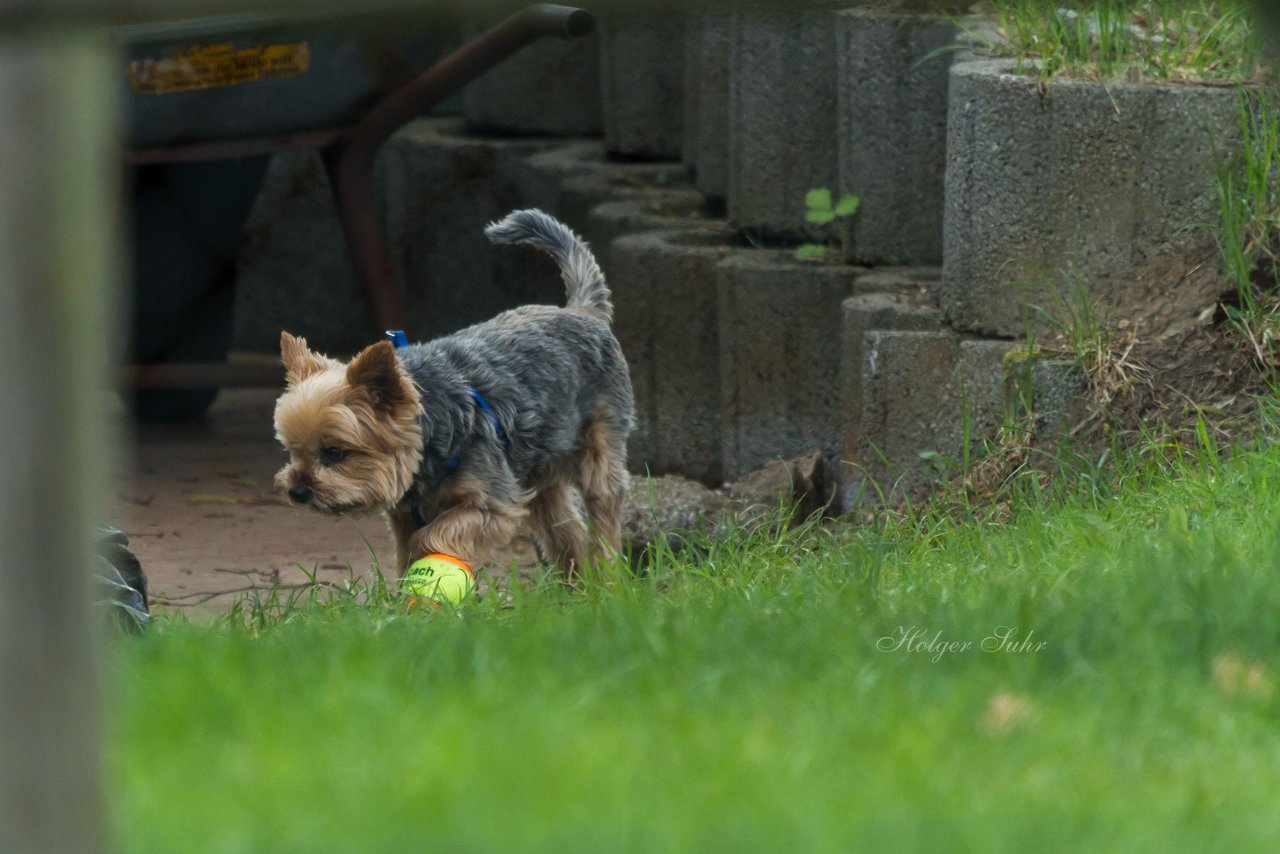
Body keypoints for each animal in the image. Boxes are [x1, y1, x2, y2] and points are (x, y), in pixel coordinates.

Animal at [275, 208, 634, 581]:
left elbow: (429, 537)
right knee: (564, 526)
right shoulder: (405, 515)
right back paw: (575, 584)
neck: (428, 433)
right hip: (541, 462)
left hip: (599, 447)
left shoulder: (494, 504)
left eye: (336, 453)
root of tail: (581, 311)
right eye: (292, 451)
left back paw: (607, 576)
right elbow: (407, 551)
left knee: (603, 505)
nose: (297, 491)